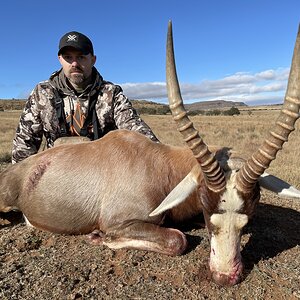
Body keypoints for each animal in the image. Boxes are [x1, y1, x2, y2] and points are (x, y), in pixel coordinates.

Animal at [0, 21, 300, 286]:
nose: (225, 276)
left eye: (252, 206)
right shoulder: (120, 221)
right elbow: (177, 239)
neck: (159, 164)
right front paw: (98, 237)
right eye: (205, 203)